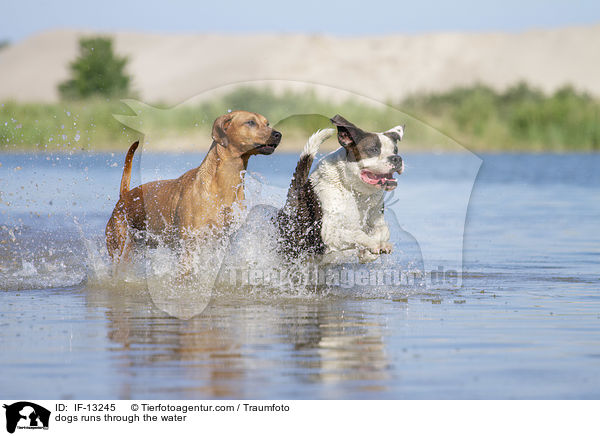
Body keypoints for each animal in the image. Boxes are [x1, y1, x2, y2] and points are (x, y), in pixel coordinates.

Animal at [105, 110, 282, 264]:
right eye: (250, 122)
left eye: (267, 123)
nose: (278, 134)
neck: (223, 183)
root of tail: (124, 195)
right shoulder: (189, 245)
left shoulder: (221, 241)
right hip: (120, 247)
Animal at [278, 114, 406, 262]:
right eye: (373, 149)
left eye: (395, 150)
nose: (397, 158)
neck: (354, 190)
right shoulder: (328, 232)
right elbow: (357, 233)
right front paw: (373, 244)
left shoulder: (376, 217)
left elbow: (384, 230)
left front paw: (372, 249)